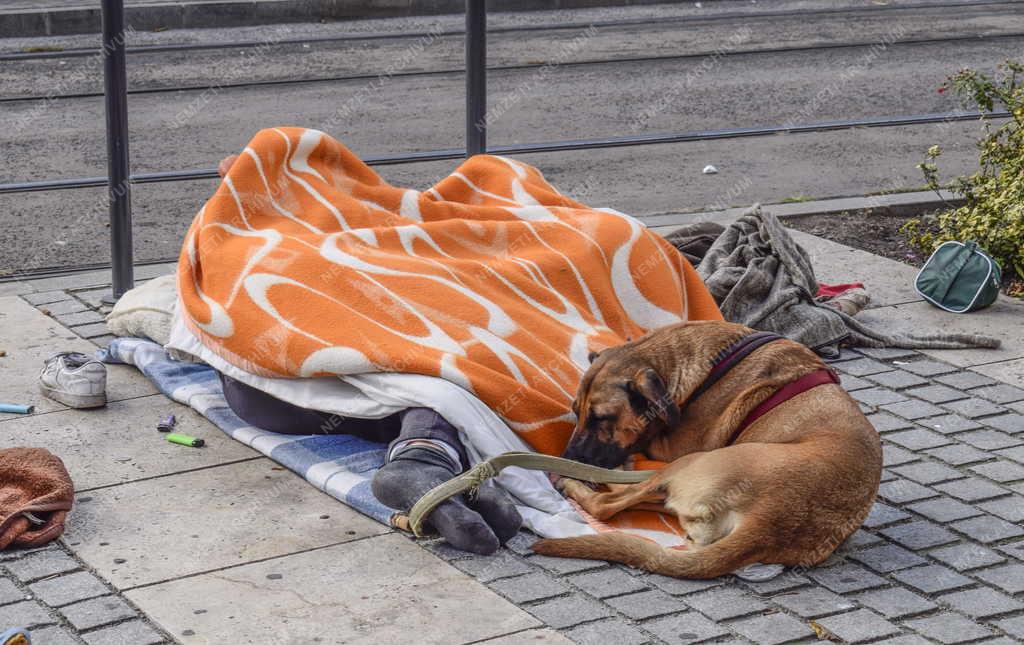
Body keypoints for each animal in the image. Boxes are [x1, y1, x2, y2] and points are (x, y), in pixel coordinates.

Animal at [536, 323, 880, 581]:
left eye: (602, 418)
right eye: (576, 411)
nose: (571, 457)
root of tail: (766, 523)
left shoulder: (676, 446)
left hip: (689, 463)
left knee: (607, 504)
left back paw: (585, 479)